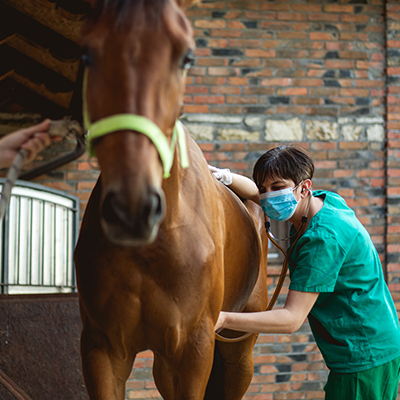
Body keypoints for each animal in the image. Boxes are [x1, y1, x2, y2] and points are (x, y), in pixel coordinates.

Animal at [75, 0, 268, 400]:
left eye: (186, 56)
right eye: (87, 53)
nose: (132, 210)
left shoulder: (194, 350)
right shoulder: (103, 349)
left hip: (239, 349)